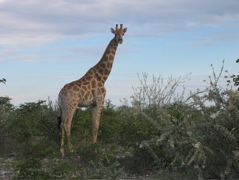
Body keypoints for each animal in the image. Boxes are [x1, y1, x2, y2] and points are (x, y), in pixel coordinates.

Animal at [57, 24, 126, 158]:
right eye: (115, 33)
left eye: (123, 33)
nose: (120, 40)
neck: (102, 76)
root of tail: (60, 94)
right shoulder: (100, 100)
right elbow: (96, 125)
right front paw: (95, 148)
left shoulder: (93, 104)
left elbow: (93, 124)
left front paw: (92, 146)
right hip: (71, 105)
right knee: (67, 124)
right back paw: (71, 150)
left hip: (63, 106)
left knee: (62, 124)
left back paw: (61, 152)